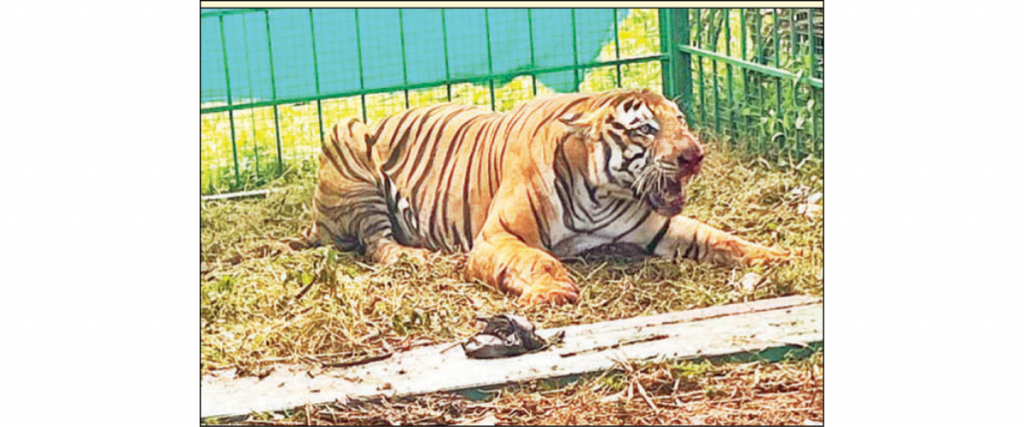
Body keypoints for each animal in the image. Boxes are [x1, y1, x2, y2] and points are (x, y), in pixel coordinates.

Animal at [290, 88, 796, 305]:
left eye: (681, 120)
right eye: (646, 130)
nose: (695, 156)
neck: (603, 194)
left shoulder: (658, 225)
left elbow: (719, 237)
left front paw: (776, 256)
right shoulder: (496, 236)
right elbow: (537, 259)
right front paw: (554, 289)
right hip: (348, 135)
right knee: (377, 244)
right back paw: (418, 258)